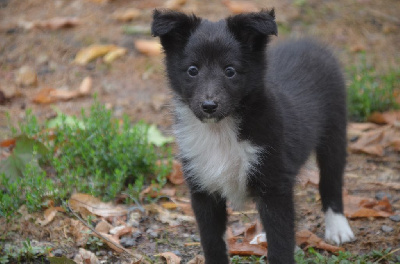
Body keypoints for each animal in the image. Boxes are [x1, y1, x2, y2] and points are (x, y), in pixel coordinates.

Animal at [152, 8, 354, 264]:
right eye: (192, 70)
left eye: (230, 71)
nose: (209, 106)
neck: (221, 130)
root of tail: (310, 44)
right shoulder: (202, 188)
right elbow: (212, 241)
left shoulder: (275, 185)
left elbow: (281, 242)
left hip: (334, 131)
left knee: (331, 180)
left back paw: (338, 227)